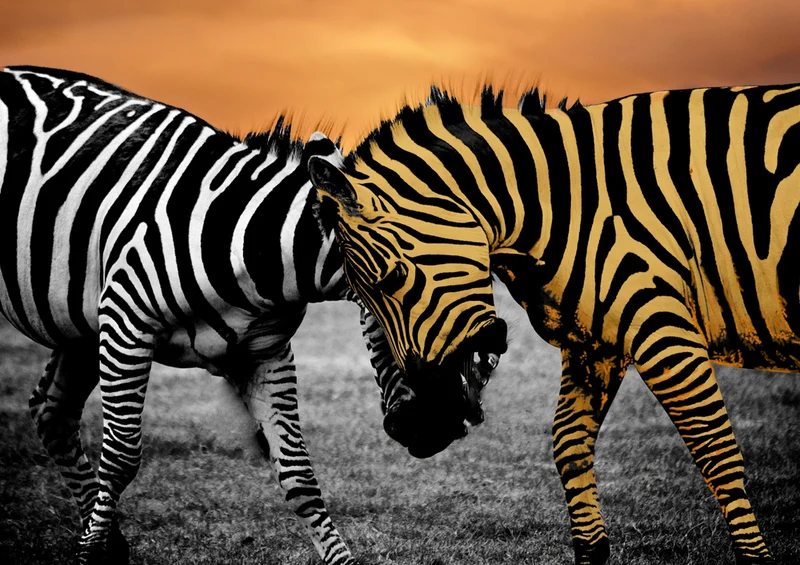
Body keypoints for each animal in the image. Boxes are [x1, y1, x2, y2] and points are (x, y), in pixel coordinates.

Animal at [0, 65, 430, 565]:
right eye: (397, 287)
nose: (432, 430)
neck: (257, 246)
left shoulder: (265, 353)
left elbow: (299, 474)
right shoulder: (126, 319)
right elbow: (122, 455)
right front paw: (89, 554)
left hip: (83, 325)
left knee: (52, 412)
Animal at [307, 83, 800, 563]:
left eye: (392, 279)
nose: (409, 428)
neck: (566, 206)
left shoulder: (662, 324)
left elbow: (714, 448)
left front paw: (755, 558)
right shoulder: (594, 342)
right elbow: (569, 445)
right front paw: (591, 548)